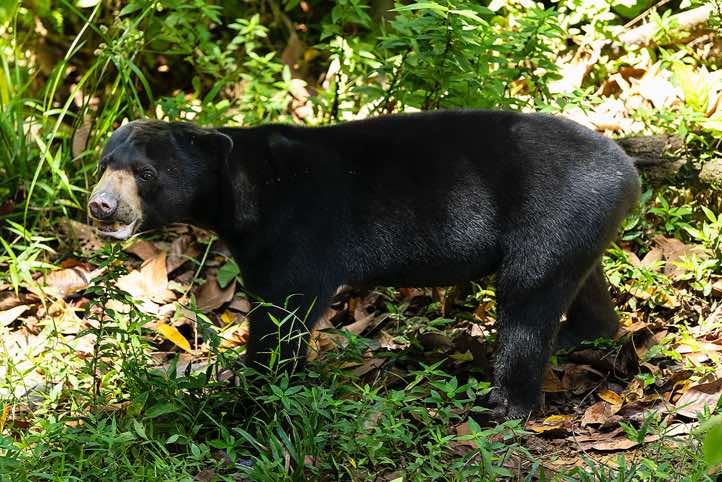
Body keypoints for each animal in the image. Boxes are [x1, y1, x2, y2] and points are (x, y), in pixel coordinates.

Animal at [87, 110, 641, 420]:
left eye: (145, 173)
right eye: (102, 164)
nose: (102, 207)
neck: (243, 187)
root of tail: (629, 173)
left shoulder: (296, 231)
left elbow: (282, 313)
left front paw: (253, 400)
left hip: (552, 213)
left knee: (527, 299)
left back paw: (504, 408)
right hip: (579, 223)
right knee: (581, 283)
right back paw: (583, 336)